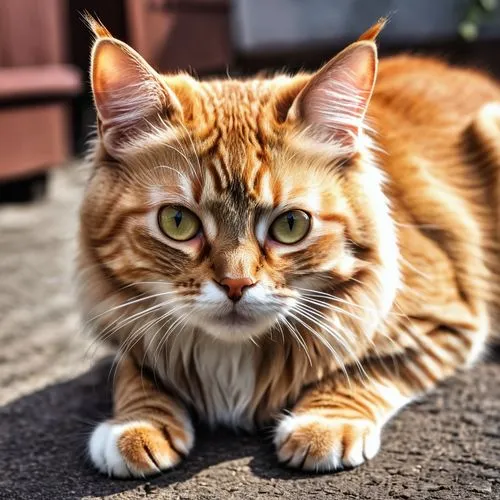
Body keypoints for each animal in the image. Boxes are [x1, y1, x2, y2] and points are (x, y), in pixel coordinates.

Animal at [78, 19, 500, 476]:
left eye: (291, 225)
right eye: (177, 222)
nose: (235, 284)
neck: (232, 358)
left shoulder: (443, 322)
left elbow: (364, 370)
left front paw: (324, 424)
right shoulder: (127, 326)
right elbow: (134, 373)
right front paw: (136, 424)